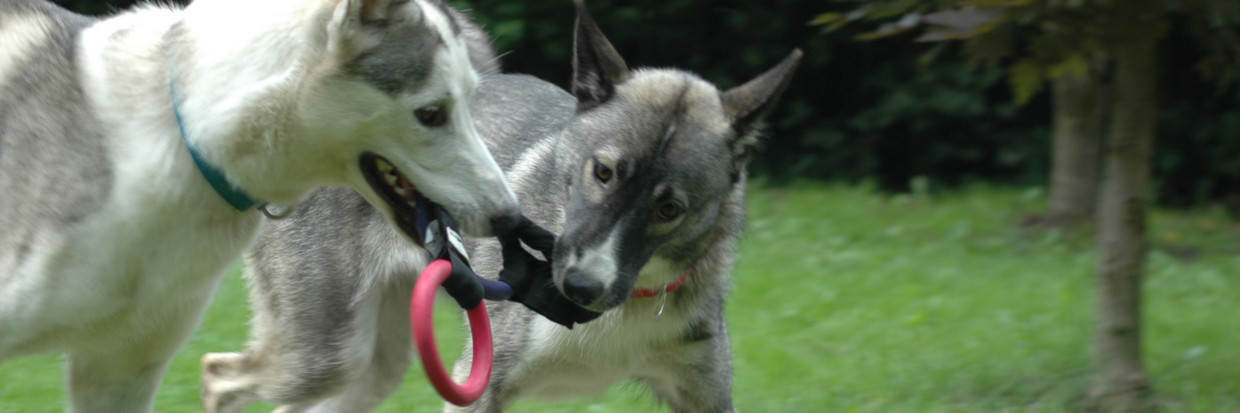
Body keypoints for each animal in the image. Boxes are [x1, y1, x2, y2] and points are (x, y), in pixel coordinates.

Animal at [200, 1, 803, 409]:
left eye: (670, 208)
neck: (625, 311)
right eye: (602, 172)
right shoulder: (481, 386)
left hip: (371, 367)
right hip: (323, 352)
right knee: (218, 376)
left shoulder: (706, 394)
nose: (579, 288)